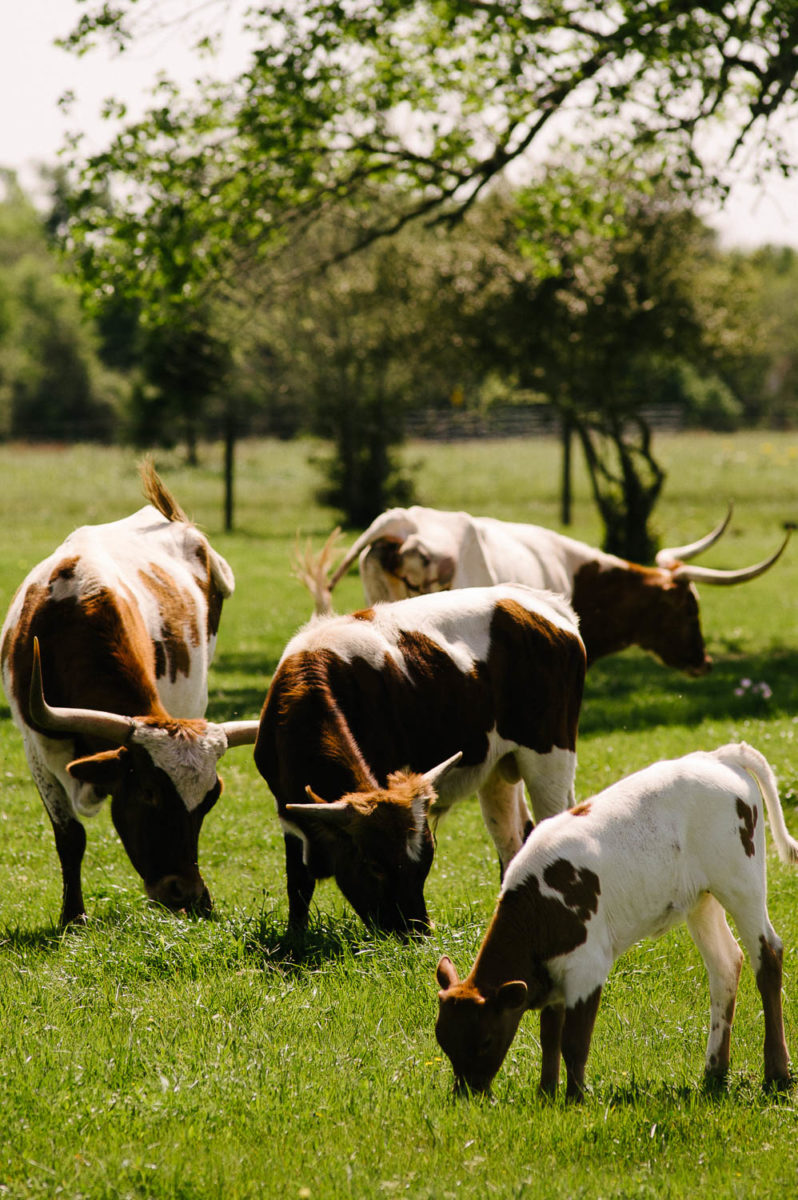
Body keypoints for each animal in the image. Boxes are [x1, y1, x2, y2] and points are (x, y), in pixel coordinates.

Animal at [0, 460, 256, 926]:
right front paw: (73, 917)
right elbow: (70, 836)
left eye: (210, 800)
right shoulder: (35, 749)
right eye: (149, 792)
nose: (187, 895)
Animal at [255, 580, 585, 936]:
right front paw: (295, 937)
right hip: (497, 768)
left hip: (550, 755)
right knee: (511, 838)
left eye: (425, 862)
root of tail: (535, 599)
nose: (417, 932)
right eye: (374, 865)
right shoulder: (287, 807)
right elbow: (298, 881)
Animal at [436, 744, 796, 1099]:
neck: (540, 907)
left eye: (485, 1041)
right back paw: (715, 1069)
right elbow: (550, 1037)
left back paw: (777, 1072)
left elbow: (573, 1042)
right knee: (725, 964)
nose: (466, 1094)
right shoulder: (554, 973)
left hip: (741, 883)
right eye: (443, 1040)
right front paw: (546, 1093)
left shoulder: (588, 966)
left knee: (767, 957)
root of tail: (717, 756)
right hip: (701, 900)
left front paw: (574, 1099)